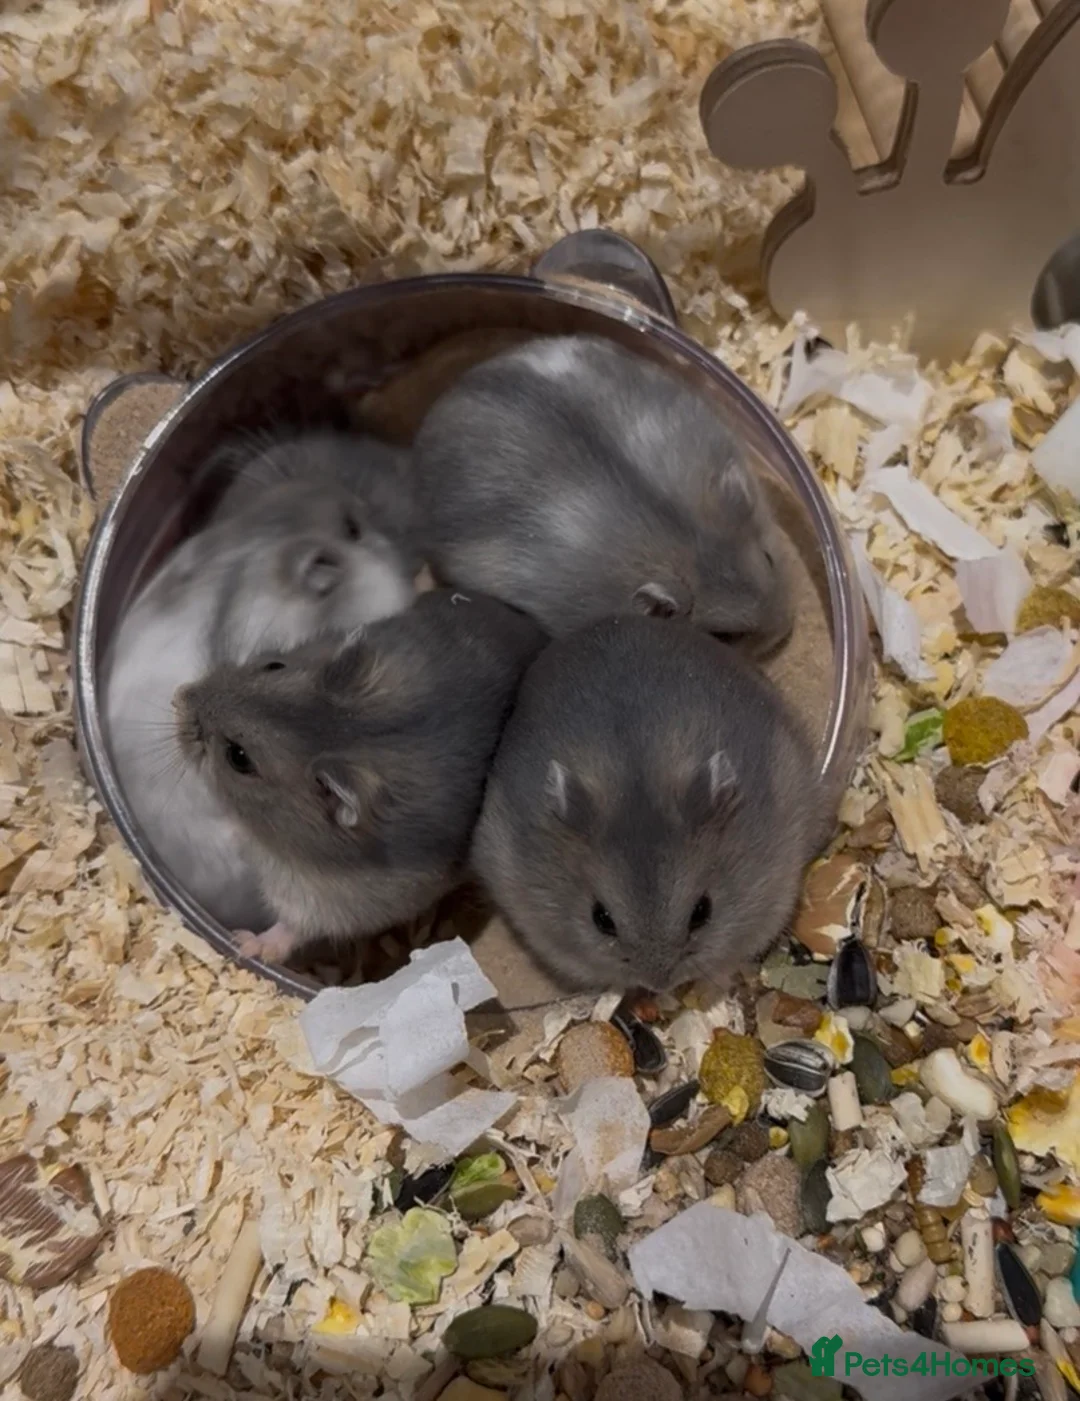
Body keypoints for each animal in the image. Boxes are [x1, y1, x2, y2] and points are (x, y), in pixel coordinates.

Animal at [172, 589, 549, 965]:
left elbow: (293, 926)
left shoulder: (328, 899)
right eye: (273, 665)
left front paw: (245, 945)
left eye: (238, 757)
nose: (179, 696)